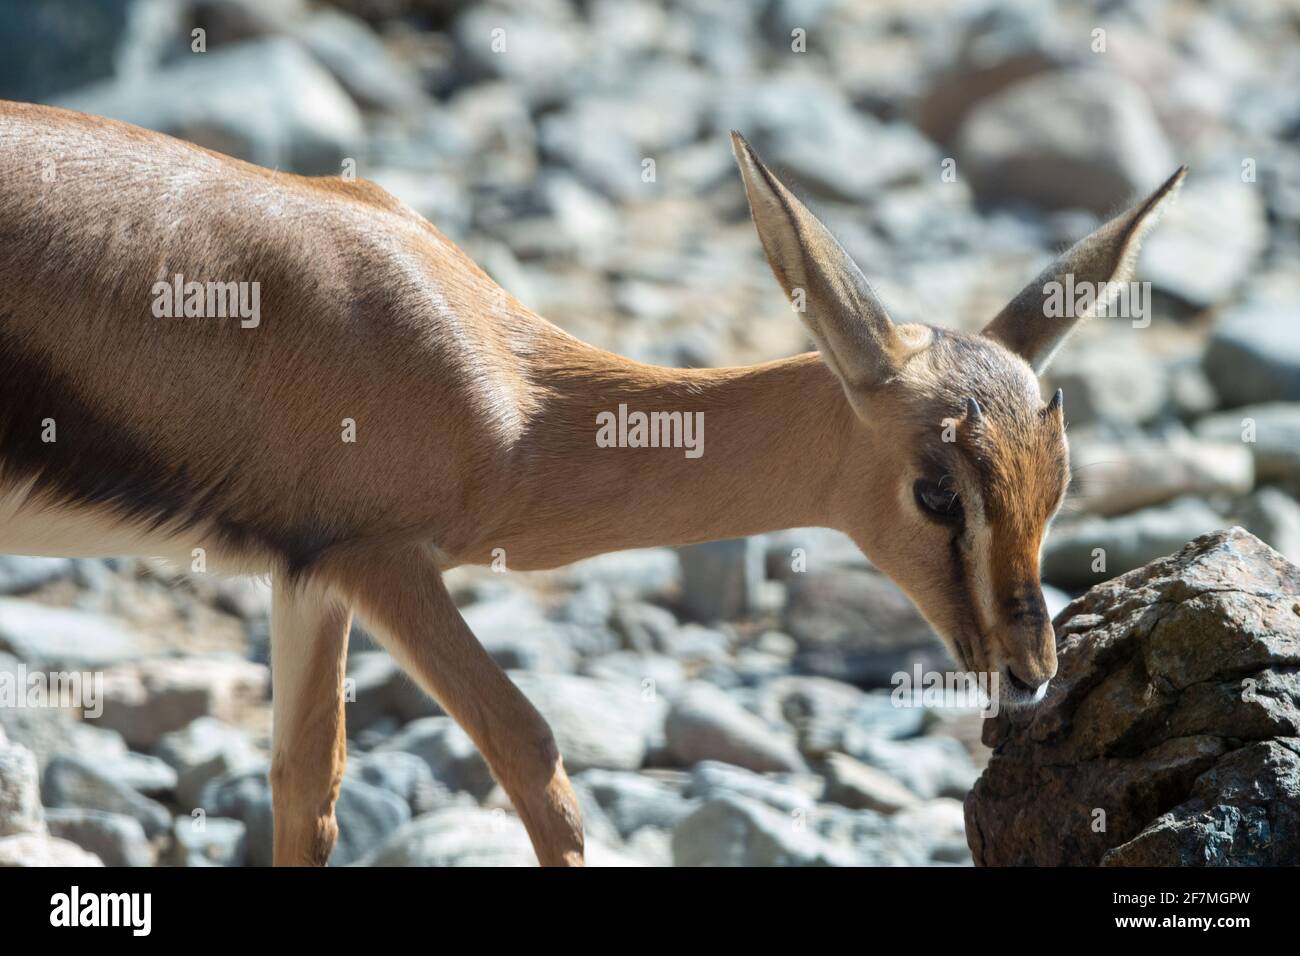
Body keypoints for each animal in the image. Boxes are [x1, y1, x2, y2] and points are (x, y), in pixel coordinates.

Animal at [0, 99, 1184, 867]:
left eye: (1058, 485)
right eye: (937, 492)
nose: (1030, 671)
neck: (509, 391)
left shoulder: (309, 580)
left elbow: (307, 787)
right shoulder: (384, 564)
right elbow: (533, 752)